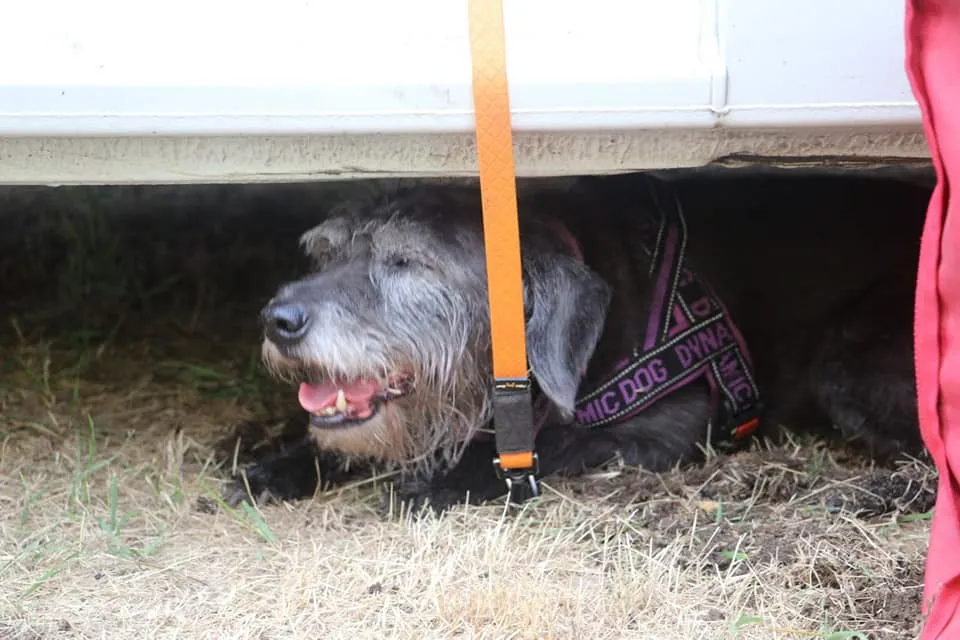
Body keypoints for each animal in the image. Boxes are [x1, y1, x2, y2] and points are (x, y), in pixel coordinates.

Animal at [229, 171, 932, 516]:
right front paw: (275, 465)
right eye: (326, 253)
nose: (277, 319)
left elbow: (560, 438)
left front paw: (449, 480)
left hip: (848, 360)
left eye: (407, 263)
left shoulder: (672, 422)